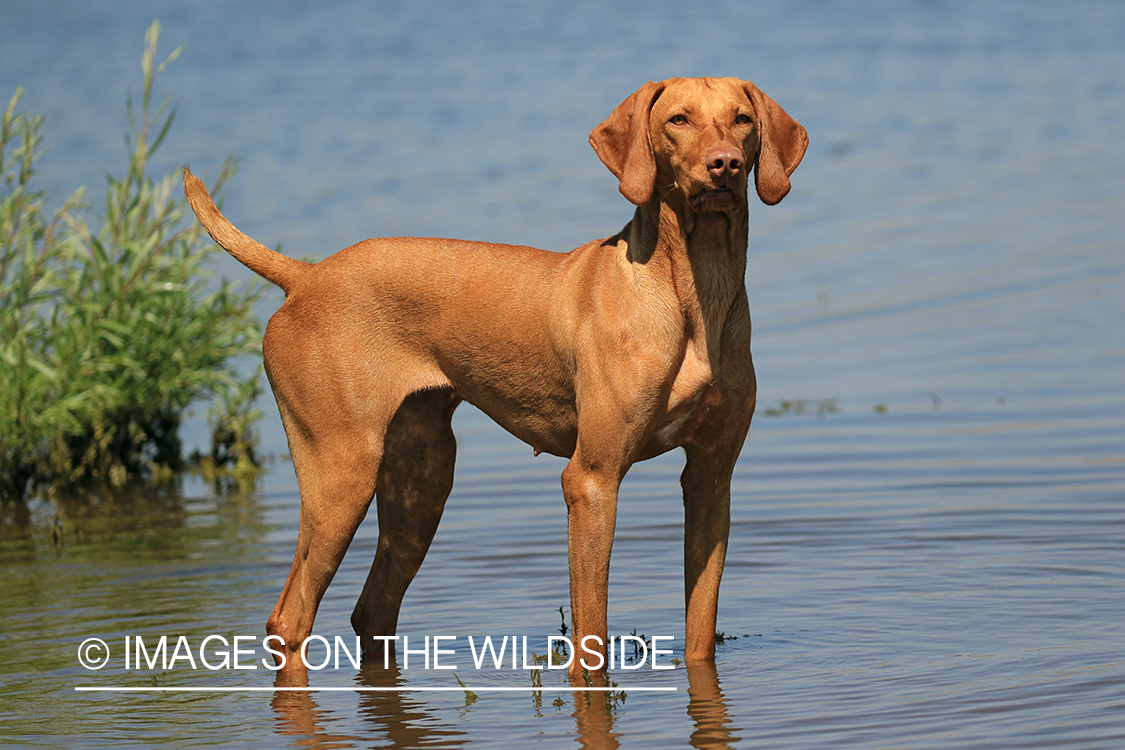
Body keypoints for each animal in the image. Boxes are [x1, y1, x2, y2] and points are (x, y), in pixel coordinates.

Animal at [184, 76, 805, 679]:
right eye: (678, 119)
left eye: (742, 120)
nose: (725, 165)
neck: (695, 293)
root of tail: (305, 277)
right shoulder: (592, 480)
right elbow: (590, 639)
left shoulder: (711, 478)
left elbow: (700, 636)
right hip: (341, 472)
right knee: (289, 618)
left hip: (421, 485)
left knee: (371, 612)